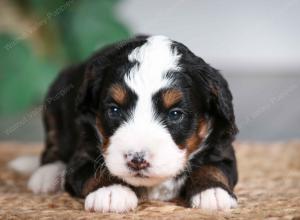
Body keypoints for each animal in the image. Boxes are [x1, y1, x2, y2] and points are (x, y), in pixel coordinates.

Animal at [18, 35, 239, 212]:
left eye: (175, 114)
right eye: (114, 110)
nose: (137, 159)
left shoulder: (222, 147)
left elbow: (214, 167)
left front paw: (213, 192)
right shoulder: (83, 150)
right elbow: (93, 169)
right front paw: (111, 191)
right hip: (55, 101)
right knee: (53, 144)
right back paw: (46, 175)